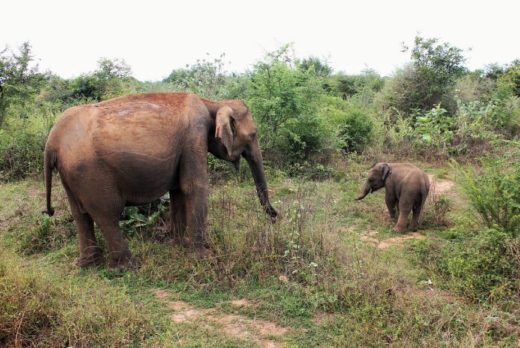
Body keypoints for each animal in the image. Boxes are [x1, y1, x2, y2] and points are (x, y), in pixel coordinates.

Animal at [44, 92, 278, 266]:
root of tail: (52, 140)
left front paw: (179, 246)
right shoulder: (194, 136)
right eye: (253, 135)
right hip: (91, 173)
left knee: (80, 215)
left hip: (71, 175)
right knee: (107, 214)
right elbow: (194, 187)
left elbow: (178, 191)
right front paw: (204, 257)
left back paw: (89, 264)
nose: (275, 216)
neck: (212, 103)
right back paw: (128, 266)